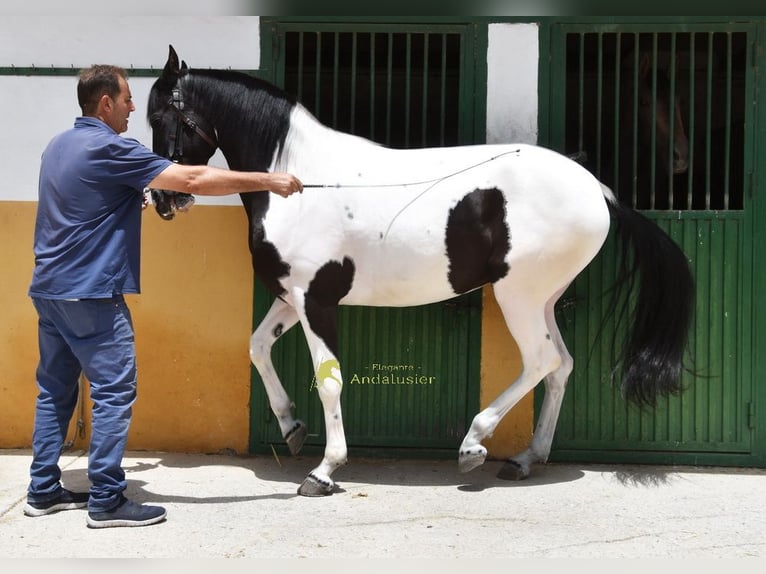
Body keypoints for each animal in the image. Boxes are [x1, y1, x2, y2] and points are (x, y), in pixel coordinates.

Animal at [147, 45, 694, 497]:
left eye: (159, 115)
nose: (164, 198)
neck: (297, 182)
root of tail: (594, 186)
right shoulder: (293, 296)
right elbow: (257, 348)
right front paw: (292, 427)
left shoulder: (315, 300)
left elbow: (328, 380)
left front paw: (325, 471)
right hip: (542, 298)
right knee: (561, 365)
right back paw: (525, 458)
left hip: (518, 296)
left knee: (541, 361)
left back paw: (474, 444)